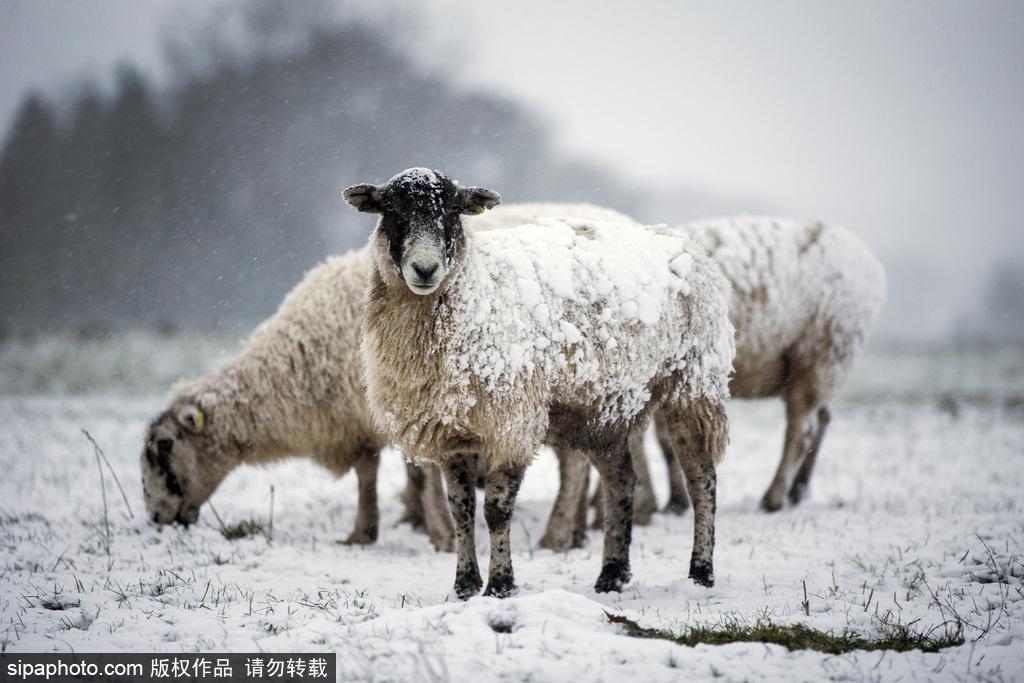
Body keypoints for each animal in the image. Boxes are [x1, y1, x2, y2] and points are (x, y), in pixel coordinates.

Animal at [139, 248, 452, 552]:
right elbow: (369, 473)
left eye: (165, 444)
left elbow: (421, 471)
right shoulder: (356, 422)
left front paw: (441, 536)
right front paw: (365, 533)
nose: (156, 518)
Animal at [346, 167, 737, 602]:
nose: (426, 270)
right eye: (392, 210)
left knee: (702, 480)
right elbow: (461, 508)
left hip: (694, 384)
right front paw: (464, 585)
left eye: (452, 210)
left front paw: (500, 585)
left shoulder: (511, 423)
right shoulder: (451, 431)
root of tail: (683, 242)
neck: (477, 293)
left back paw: (700, 572)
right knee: (622, 481)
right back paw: (612, 575)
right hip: (604, 409)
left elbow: (495, 509)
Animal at [540, 216, 884, 552]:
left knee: (801, 431)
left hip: (820, 354)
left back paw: (773, 498)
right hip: (821, 365)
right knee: (822, 419)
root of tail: (870, 265)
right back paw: (797, 490)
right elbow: (655, 442)